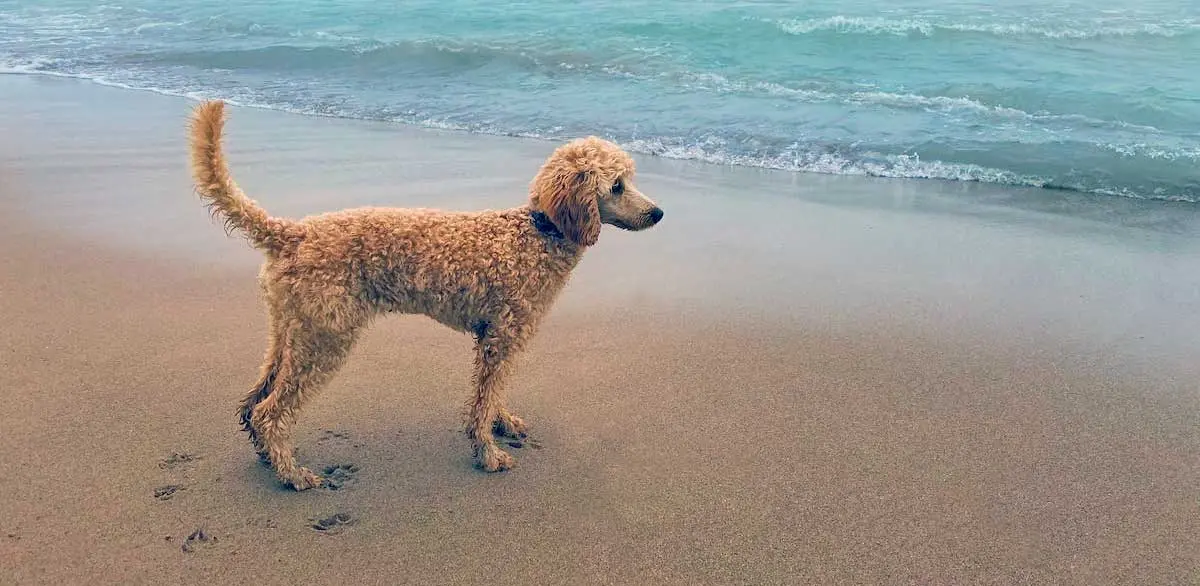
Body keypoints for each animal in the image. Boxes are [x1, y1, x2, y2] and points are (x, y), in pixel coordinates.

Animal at [187, 100, 667, 489]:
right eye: (617, 185)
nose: (659, 213)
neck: (537, 231)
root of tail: (292, 233)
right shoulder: (502, 337)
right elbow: (482, 402)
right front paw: (487, 453)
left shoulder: (501, 338)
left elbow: (494, 393)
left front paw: (502, 422)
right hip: (325, 339)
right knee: (271, 411)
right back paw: (292, 474)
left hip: (292, 330)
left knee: (254, 401)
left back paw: (270, 458)